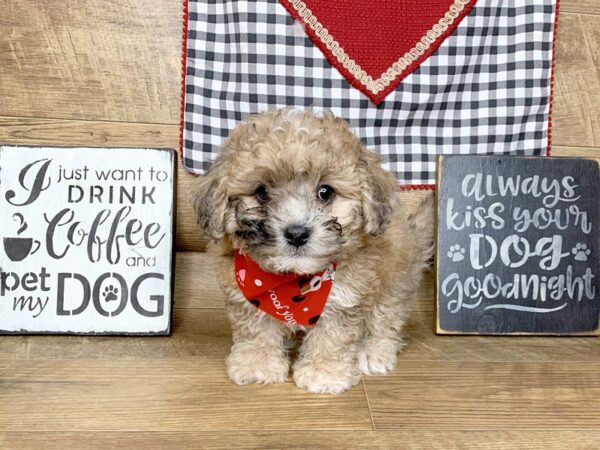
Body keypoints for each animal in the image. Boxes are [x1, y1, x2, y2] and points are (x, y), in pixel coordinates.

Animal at [195, 109, 434, 394]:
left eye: (325, 192)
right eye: (261, 192)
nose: (297, 233)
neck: (294, 283)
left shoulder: (346, 296)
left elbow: (332, 337)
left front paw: (324, 374)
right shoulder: (245, 295)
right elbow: (255, 329)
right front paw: (257, 365)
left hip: (395, 279)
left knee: (386, 318)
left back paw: (374, 351)